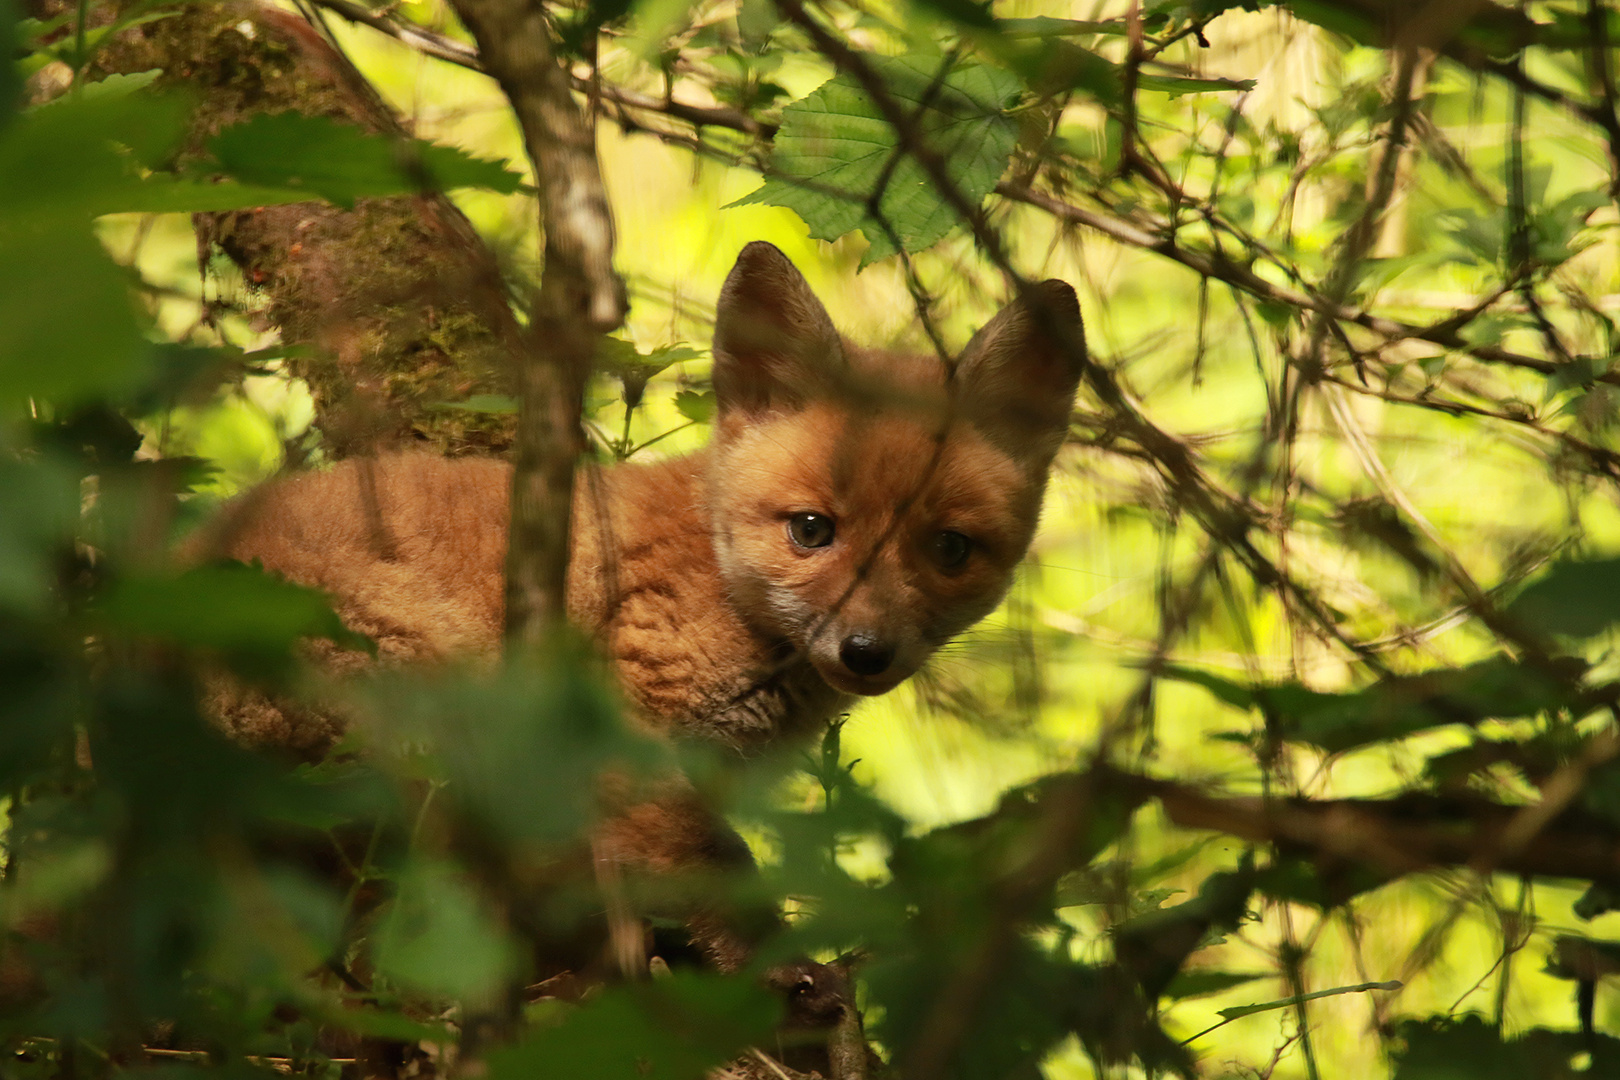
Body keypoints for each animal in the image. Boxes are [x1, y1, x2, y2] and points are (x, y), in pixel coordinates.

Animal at [199, 244, 1088, 971]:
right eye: (811, 530)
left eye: (950, 549)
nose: (866, 651)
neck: (720, 589)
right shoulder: (630, 734)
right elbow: (721, 878)